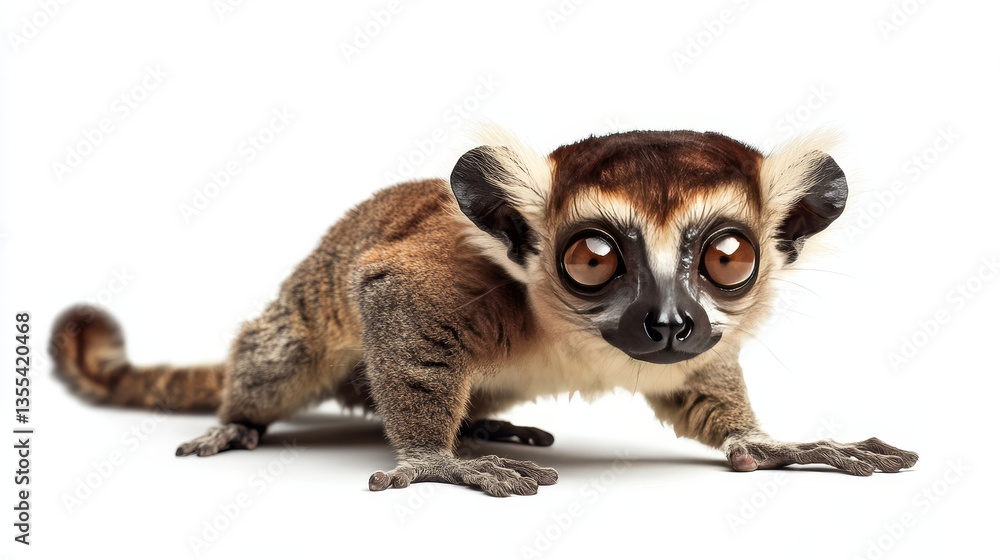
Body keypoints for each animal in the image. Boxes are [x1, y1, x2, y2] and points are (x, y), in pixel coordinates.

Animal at [49, 125, 918, 497]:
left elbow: (699, 391)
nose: (670, 324)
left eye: (728, 258)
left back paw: (485, 422)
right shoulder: (452, 281)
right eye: (593, 259)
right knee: (283, 356)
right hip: (302, 320)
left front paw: (771, 446)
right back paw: (239, 420)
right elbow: (388, 292)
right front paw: (436, 462)